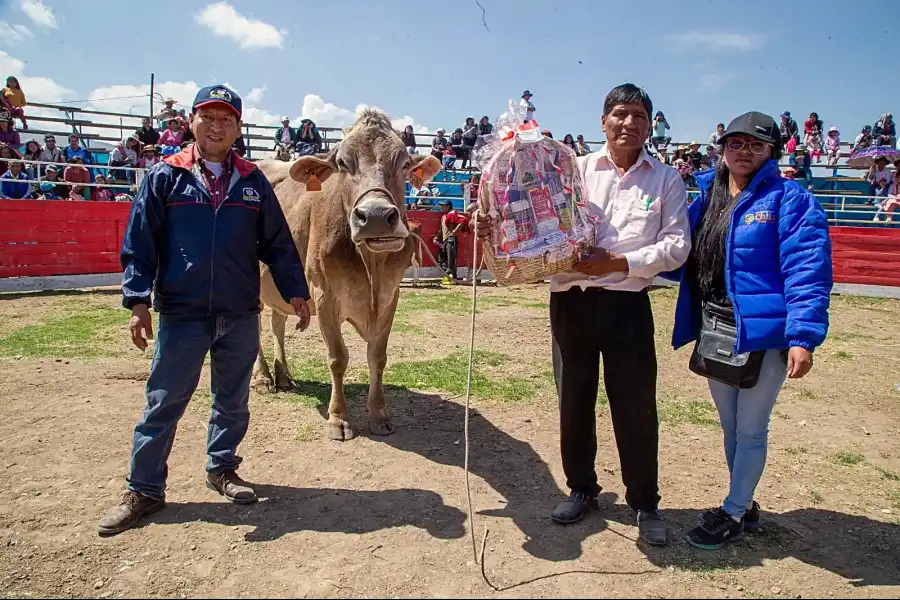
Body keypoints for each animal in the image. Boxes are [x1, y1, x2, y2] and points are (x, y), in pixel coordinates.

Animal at [253, 111, 442, 440]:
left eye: (404, 162)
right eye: (342, 162)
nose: (376, 216)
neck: (371, 266)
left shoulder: (390, 296)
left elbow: (377, 357)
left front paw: (379, 415)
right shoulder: (324, 295)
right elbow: (338, 358)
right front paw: (338, 418)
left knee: (277, 323)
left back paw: (284, 376)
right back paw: (263, 378)